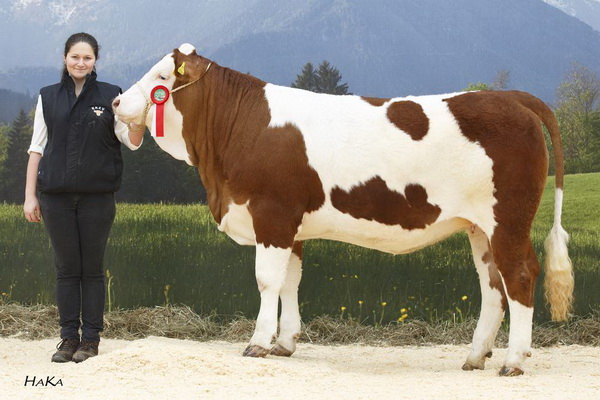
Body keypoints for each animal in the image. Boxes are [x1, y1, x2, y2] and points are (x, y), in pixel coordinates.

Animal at [113, 43, 576, 376]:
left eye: (160, 77)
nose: (116, 104)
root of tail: (510, 97)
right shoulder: (293, 226)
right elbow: (290, 282)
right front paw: (285, 343)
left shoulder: (272, 215)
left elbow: (267, 281)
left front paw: (259, 342)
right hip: (479, 228)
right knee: (492, 285)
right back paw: (476, 356)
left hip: (508, 221)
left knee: (519, 276)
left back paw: (512, 361)